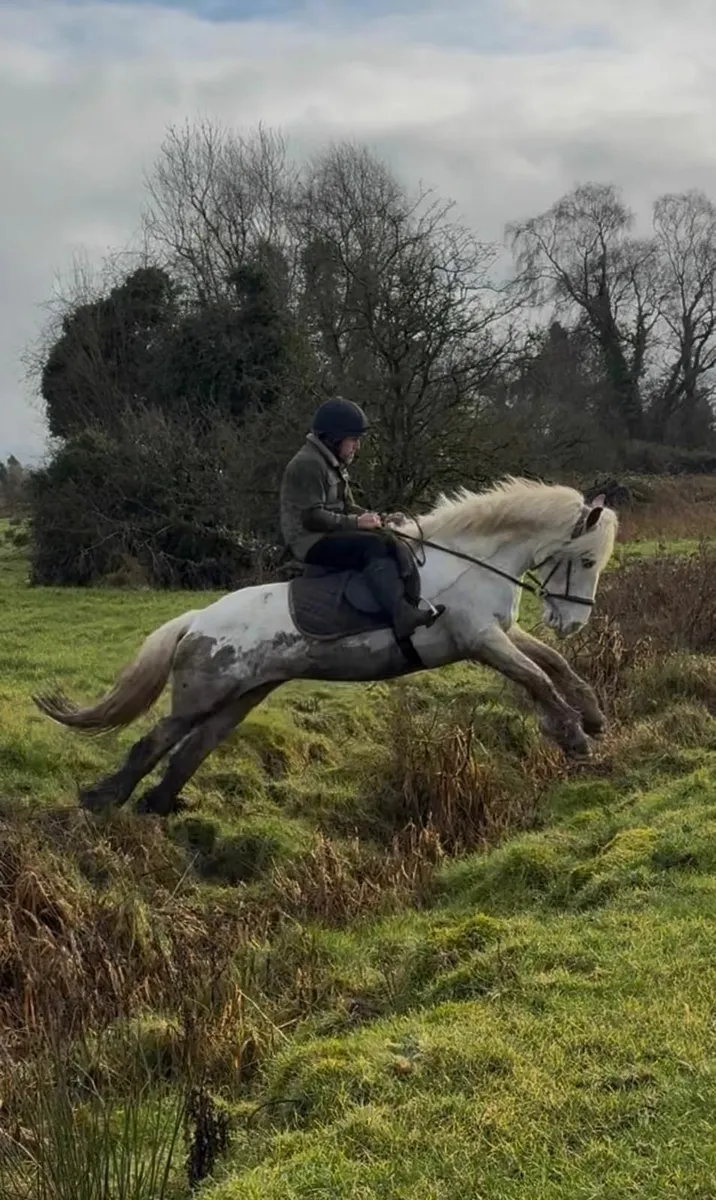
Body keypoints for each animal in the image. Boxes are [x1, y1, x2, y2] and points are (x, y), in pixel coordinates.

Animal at [33, 477, 617, 816]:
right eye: (588, 560)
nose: (572, 622)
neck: (473, 562)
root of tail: (198, 619)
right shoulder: (481, 639)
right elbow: (535, 677)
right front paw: (572, 736)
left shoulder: (501, 633)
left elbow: (554, 665)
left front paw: (591, 717)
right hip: (203, 695)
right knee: (154, 742)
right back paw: (102, 799)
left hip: (243, 697)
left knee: (191, 751)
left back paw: (157, 806)